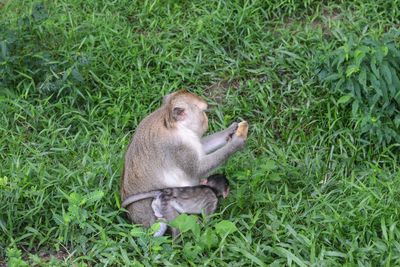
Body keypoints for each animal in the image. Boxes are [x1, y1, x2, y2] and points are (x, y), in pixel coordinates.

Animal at [120, 90, 248, 228]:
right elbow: (198, 169)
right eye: (202, 111)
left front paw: (231, 130)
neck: (173, 124)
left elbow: (200, 149)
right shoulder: (178, 146)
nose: (206, 120)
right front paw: (236, 143)